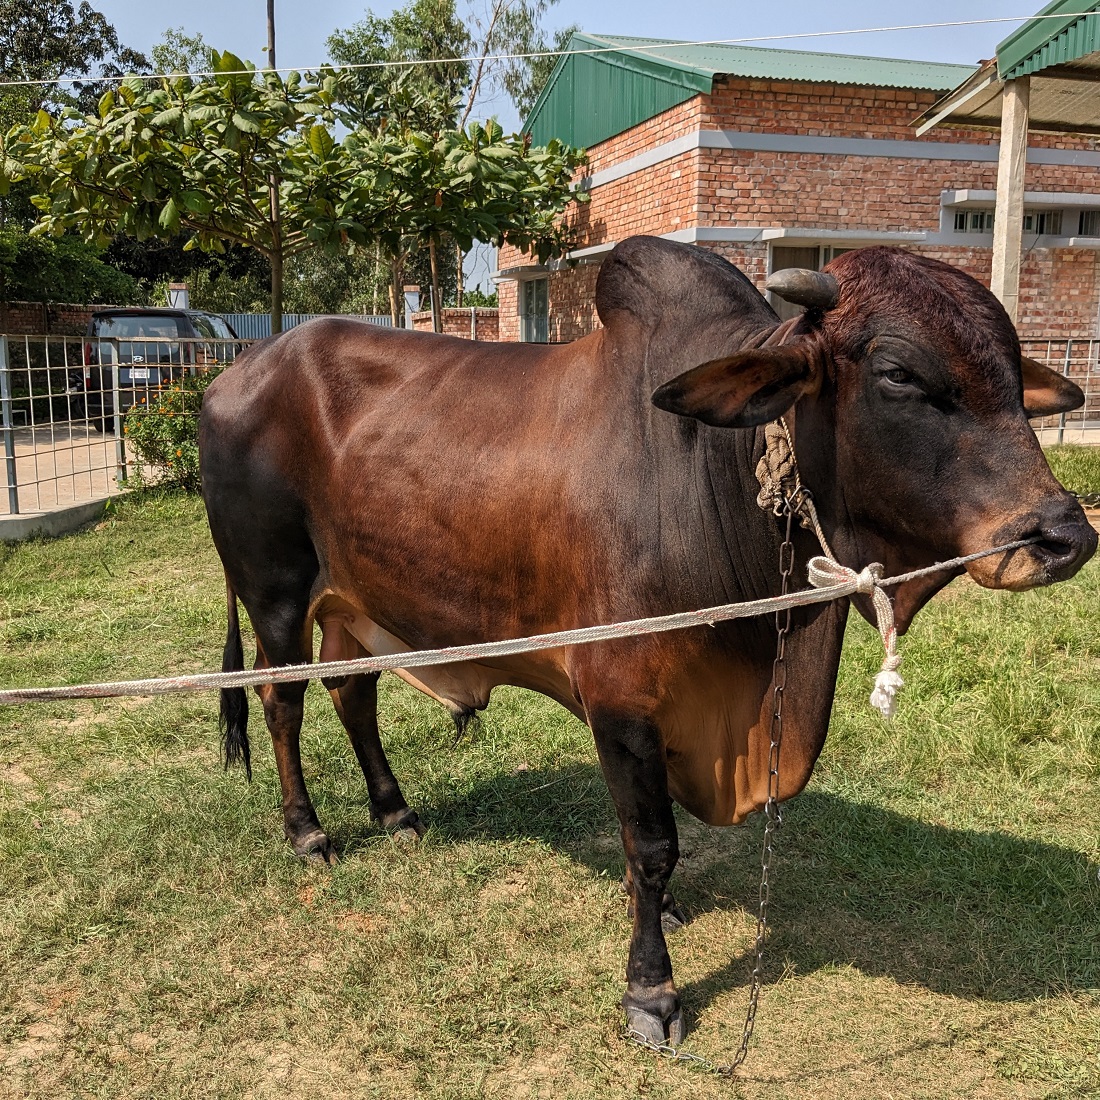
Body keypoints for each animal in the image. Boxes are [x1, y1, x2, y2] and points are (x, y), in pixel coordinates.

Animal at [198, 236, 1091, 1042]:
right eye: (899, 373)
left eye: (1011, 372)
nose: (1063, 535)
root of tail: (237, 371)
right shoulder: (621, 698)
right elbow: (653, 843)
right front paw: (651, 990)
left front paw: (657, 911)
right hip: (276, 595)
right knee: (281, 702)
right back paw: (309, 831)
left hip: (355, 606)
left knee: (354, 693)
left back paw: (395, 812)